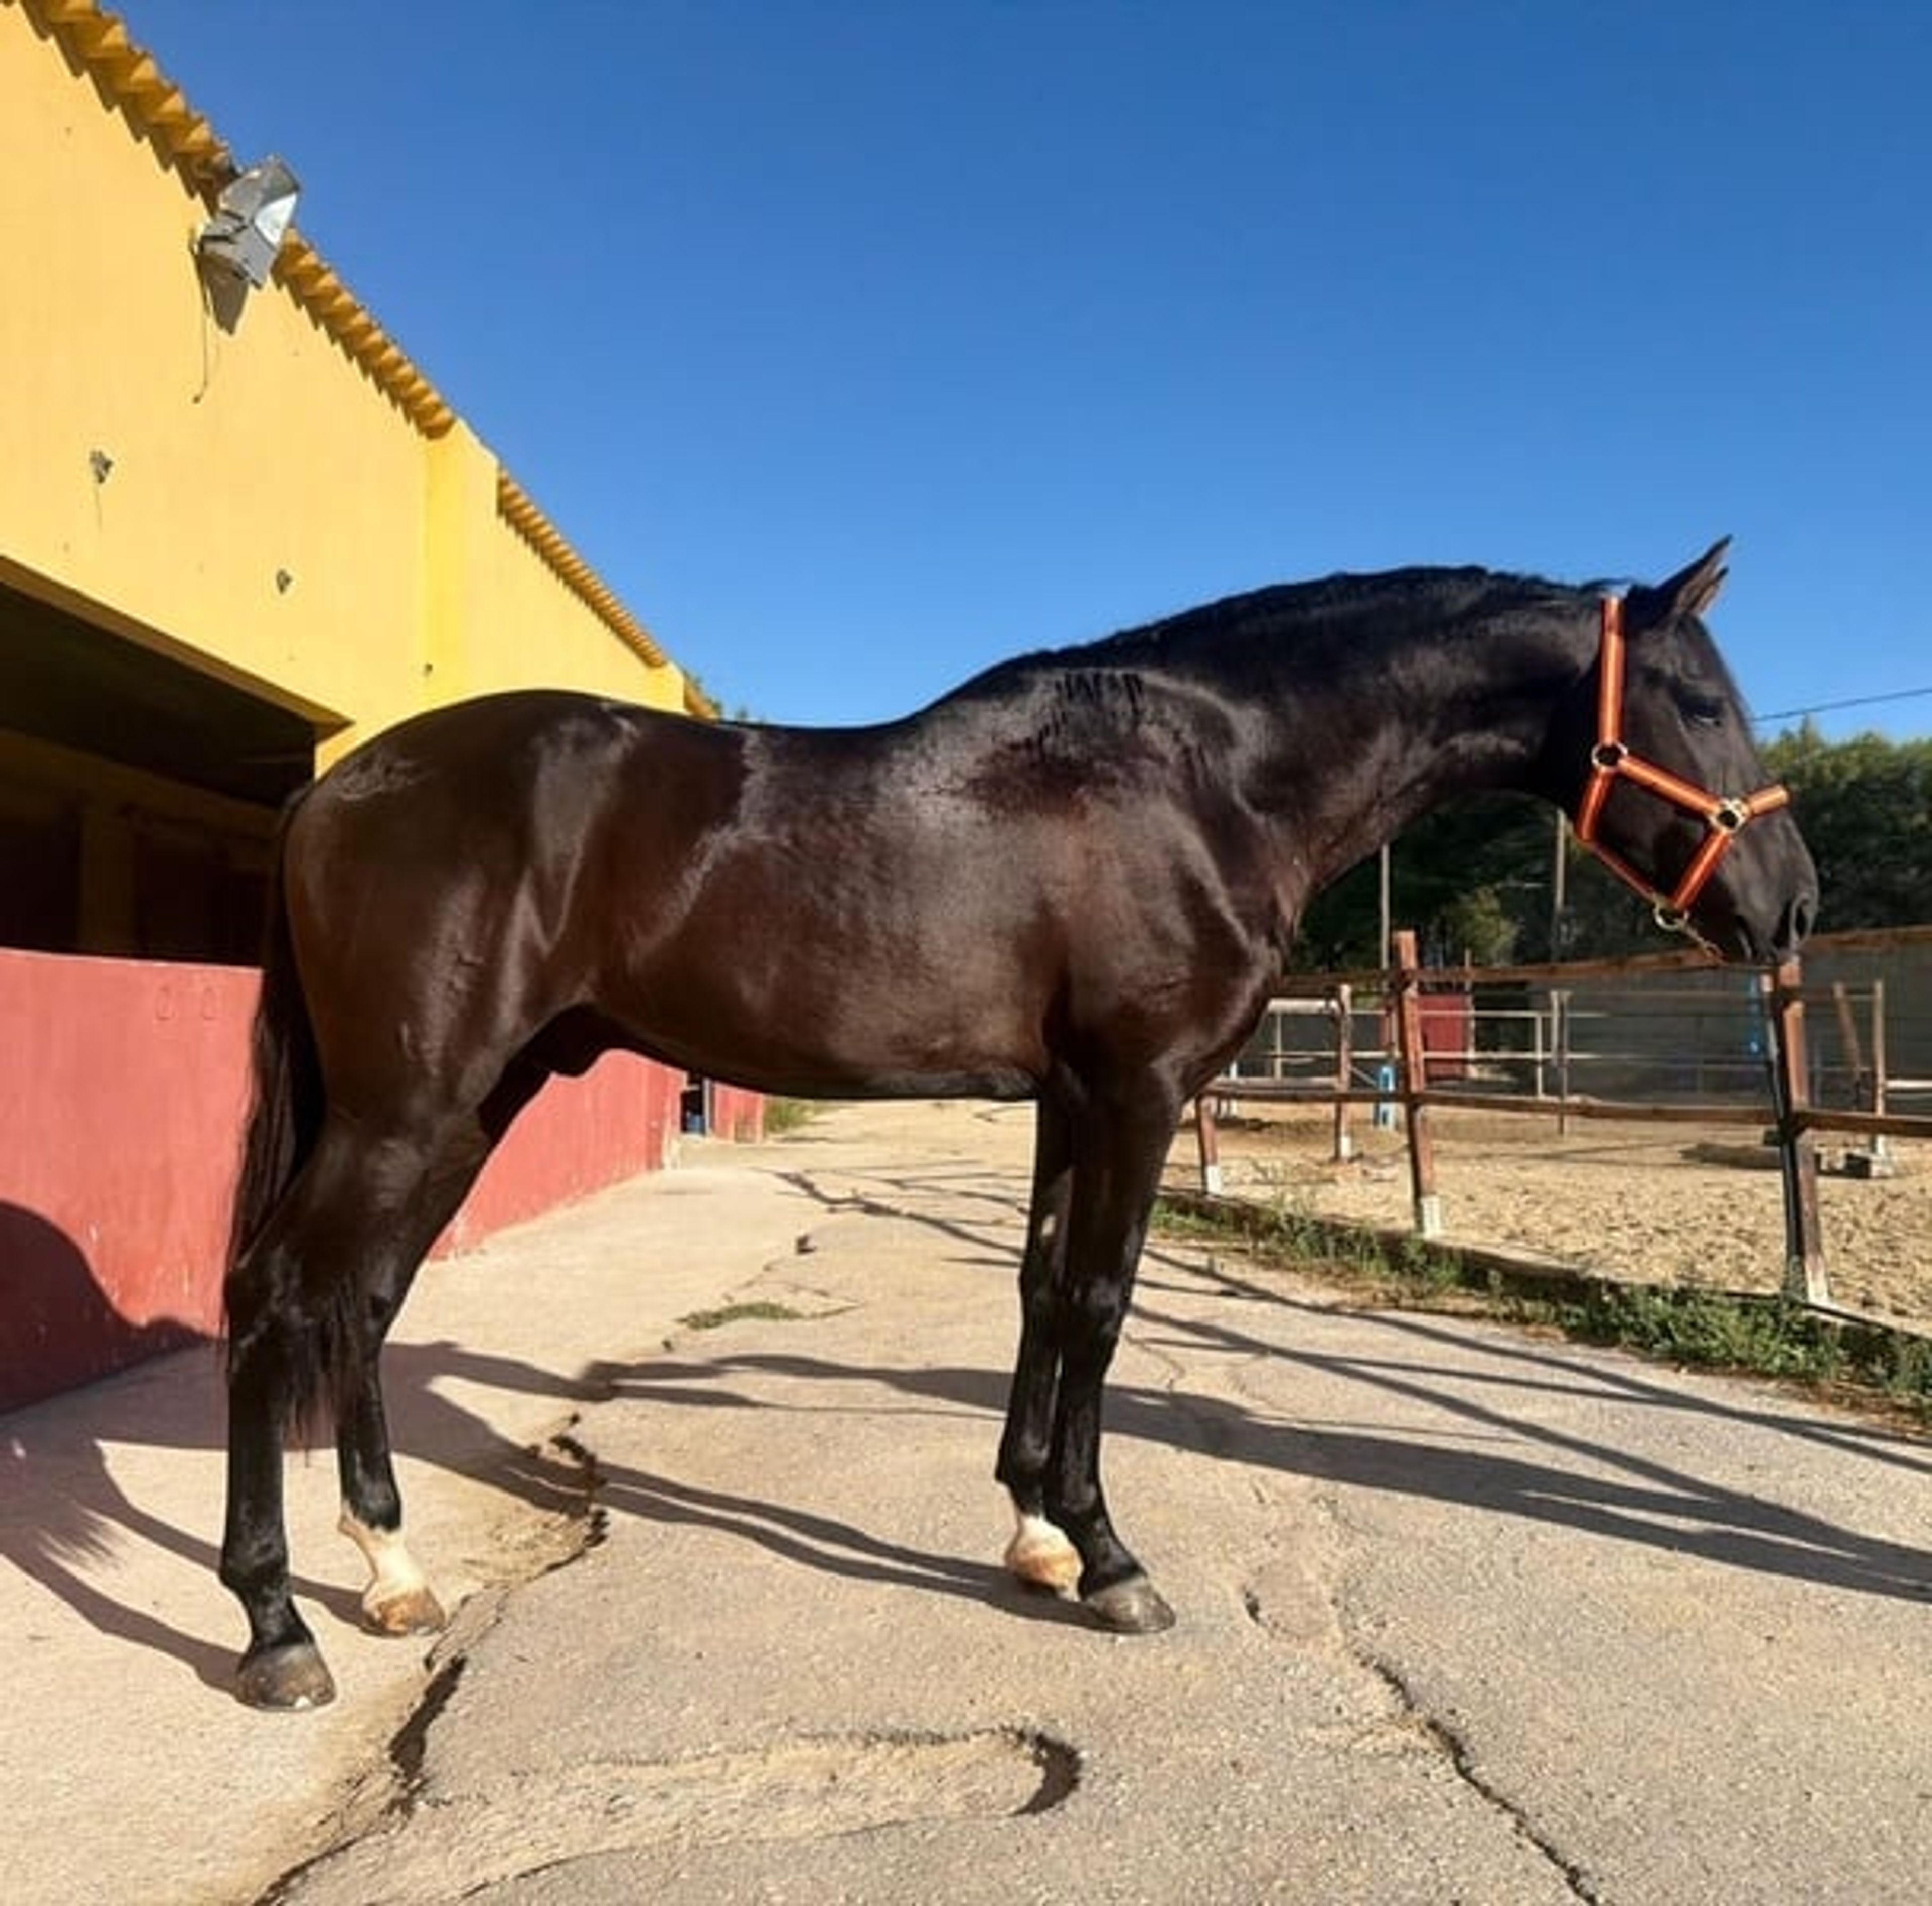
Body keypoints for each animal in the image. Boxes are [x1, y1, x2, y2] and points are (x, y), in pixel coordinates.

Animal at [219, 537, 1816, 1708]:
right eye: (1700, 701)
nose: (1791, 904)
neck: (1208, 781)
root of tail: (338, 790)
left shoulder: (1070, 1100)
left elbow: (1045, 1290)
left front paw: (1038, 1533)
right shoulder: (1137, 1091)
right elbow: (1102, 1301)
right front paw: (1110, 1560)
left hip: (464, 1107)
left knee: (360, 1299)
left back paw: (389, 1568)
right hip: (407, 1107)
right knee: (271, 1295)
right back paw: (276, 1625)